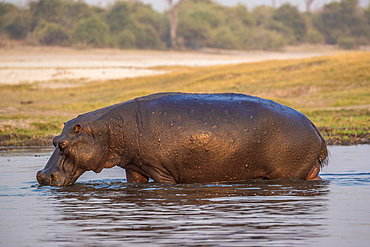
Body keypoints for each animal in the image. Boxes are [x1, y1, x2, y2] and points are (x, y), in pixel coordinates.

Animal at [36, 92, 326, 185]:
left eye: (64, 144)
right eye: (53, 140)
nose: (41, 176)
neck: (105, 132)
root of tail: (317, 130)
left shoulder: (161, 171)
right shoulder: (134, 168)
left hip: (287, 173)